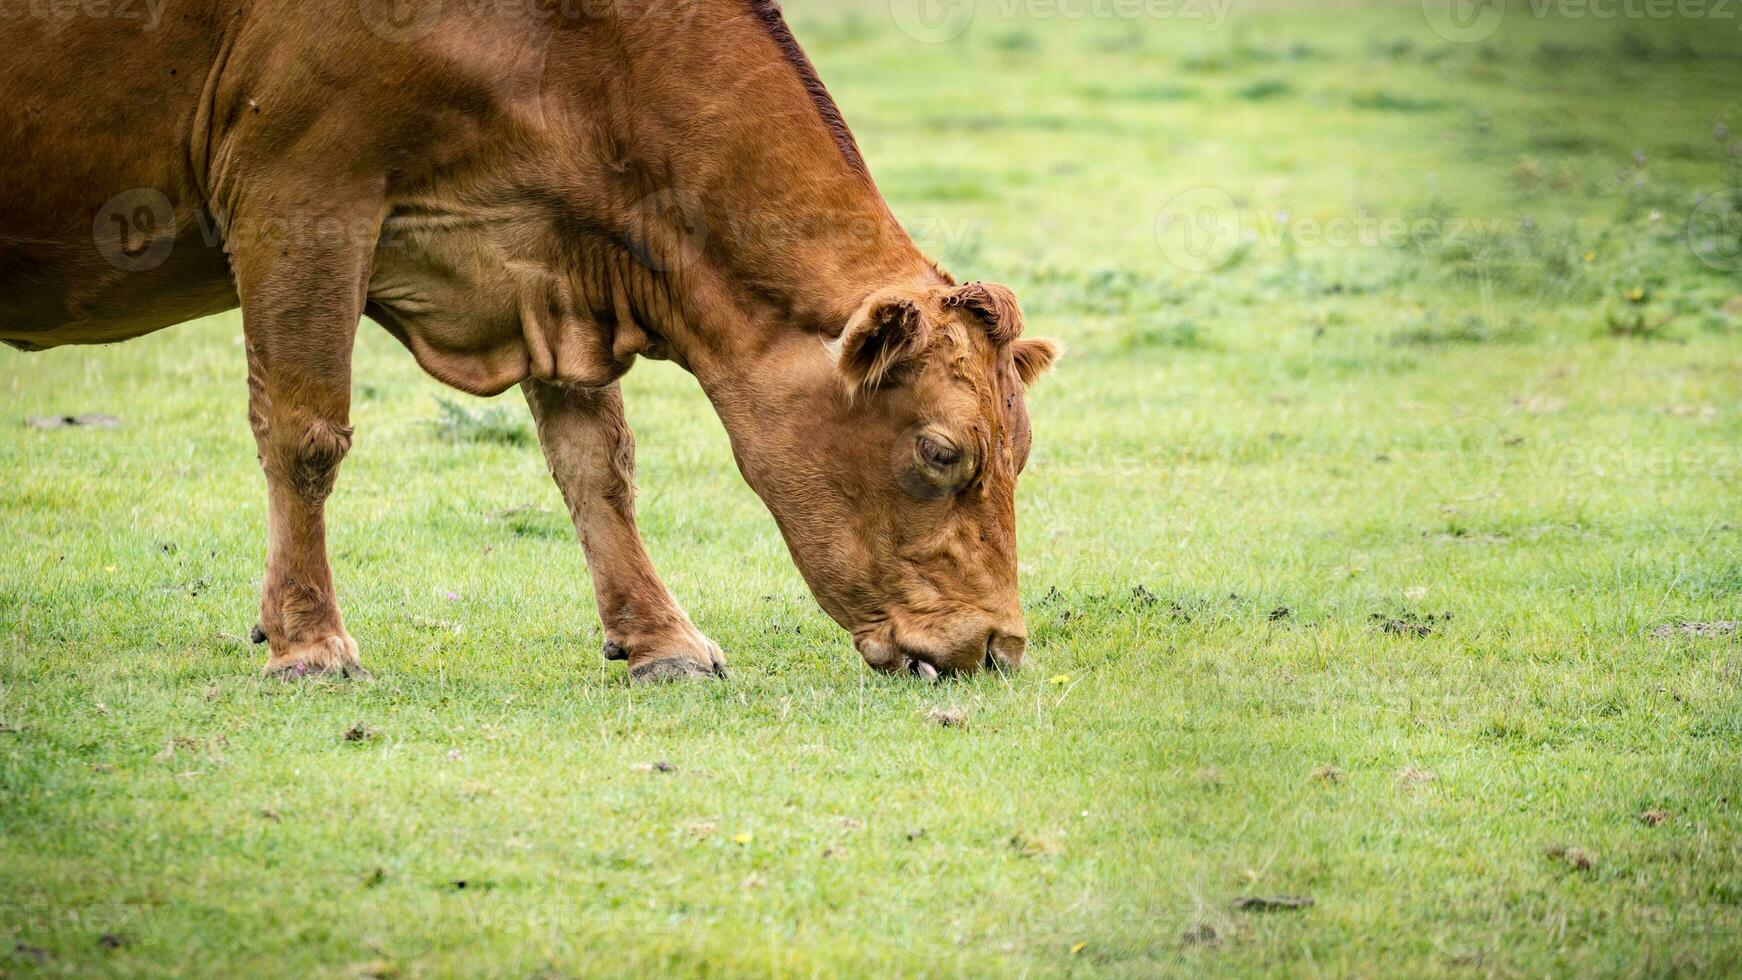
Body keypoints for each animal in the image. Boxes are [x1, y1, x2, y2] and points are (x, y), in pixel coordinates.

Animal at [0, 0, 1052, 682]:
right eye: (942, 453)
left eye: (1021, 455)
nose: (998, 645)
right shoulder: (299, 196)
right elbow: (305, 436)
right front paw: (307, 642)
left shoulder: (551, 266)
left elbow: (599, 463)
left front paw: (661, 640)